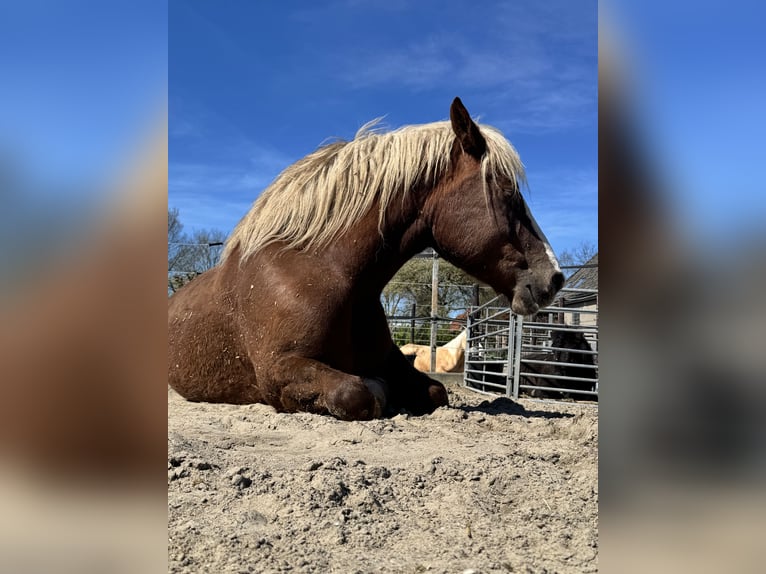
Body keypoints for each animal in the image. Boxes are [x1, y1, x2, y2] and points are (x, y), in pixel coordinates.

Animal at [168, 97, 564, 420]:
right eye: (506, 191)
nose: (554, 278)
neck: (326, 272)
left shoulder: (391, 359)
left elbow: (435, 391)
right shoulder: (279, 370)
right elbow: (357, 392)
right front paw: (376, 389)